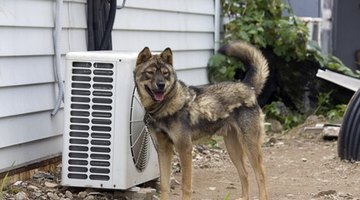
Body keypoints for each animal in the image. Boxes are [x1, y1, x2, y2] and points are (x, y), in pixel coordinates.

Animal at [134, 41, 268, 200]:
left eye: (165, 74)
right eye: (150, 73)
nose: (161, 85)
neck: (165, 106)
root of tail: (247, 86)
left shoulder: (185, 149)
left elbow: (186, 187)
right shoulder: (163, 150)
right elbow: (164, 186)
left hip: (250, 146)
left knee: (260, 176)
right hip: (232, 148)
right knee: (245, 174)